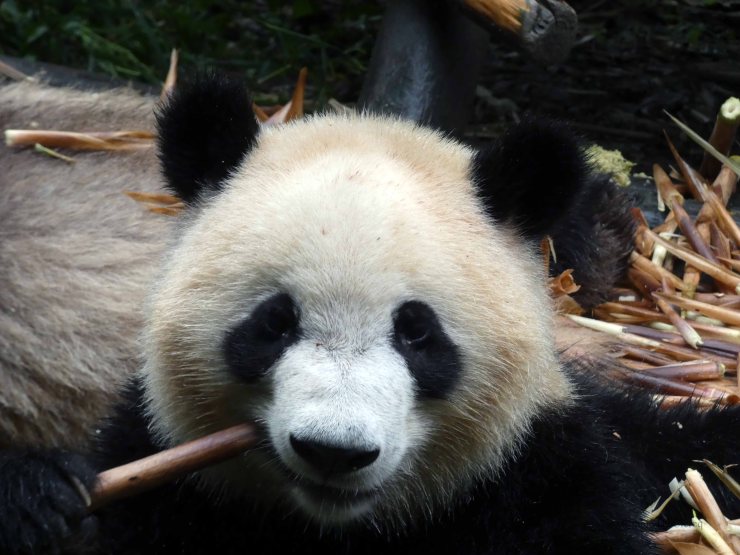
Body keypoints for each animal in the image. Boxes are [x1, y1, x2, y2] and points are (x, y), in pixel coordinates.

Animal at [1, 73, 738, 554]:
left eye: (417, 333)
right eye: (274, 323)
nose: (334, 450)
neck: (340, 525)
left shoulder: (541, 473)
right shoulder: (166, 473)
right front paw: (42, 499)